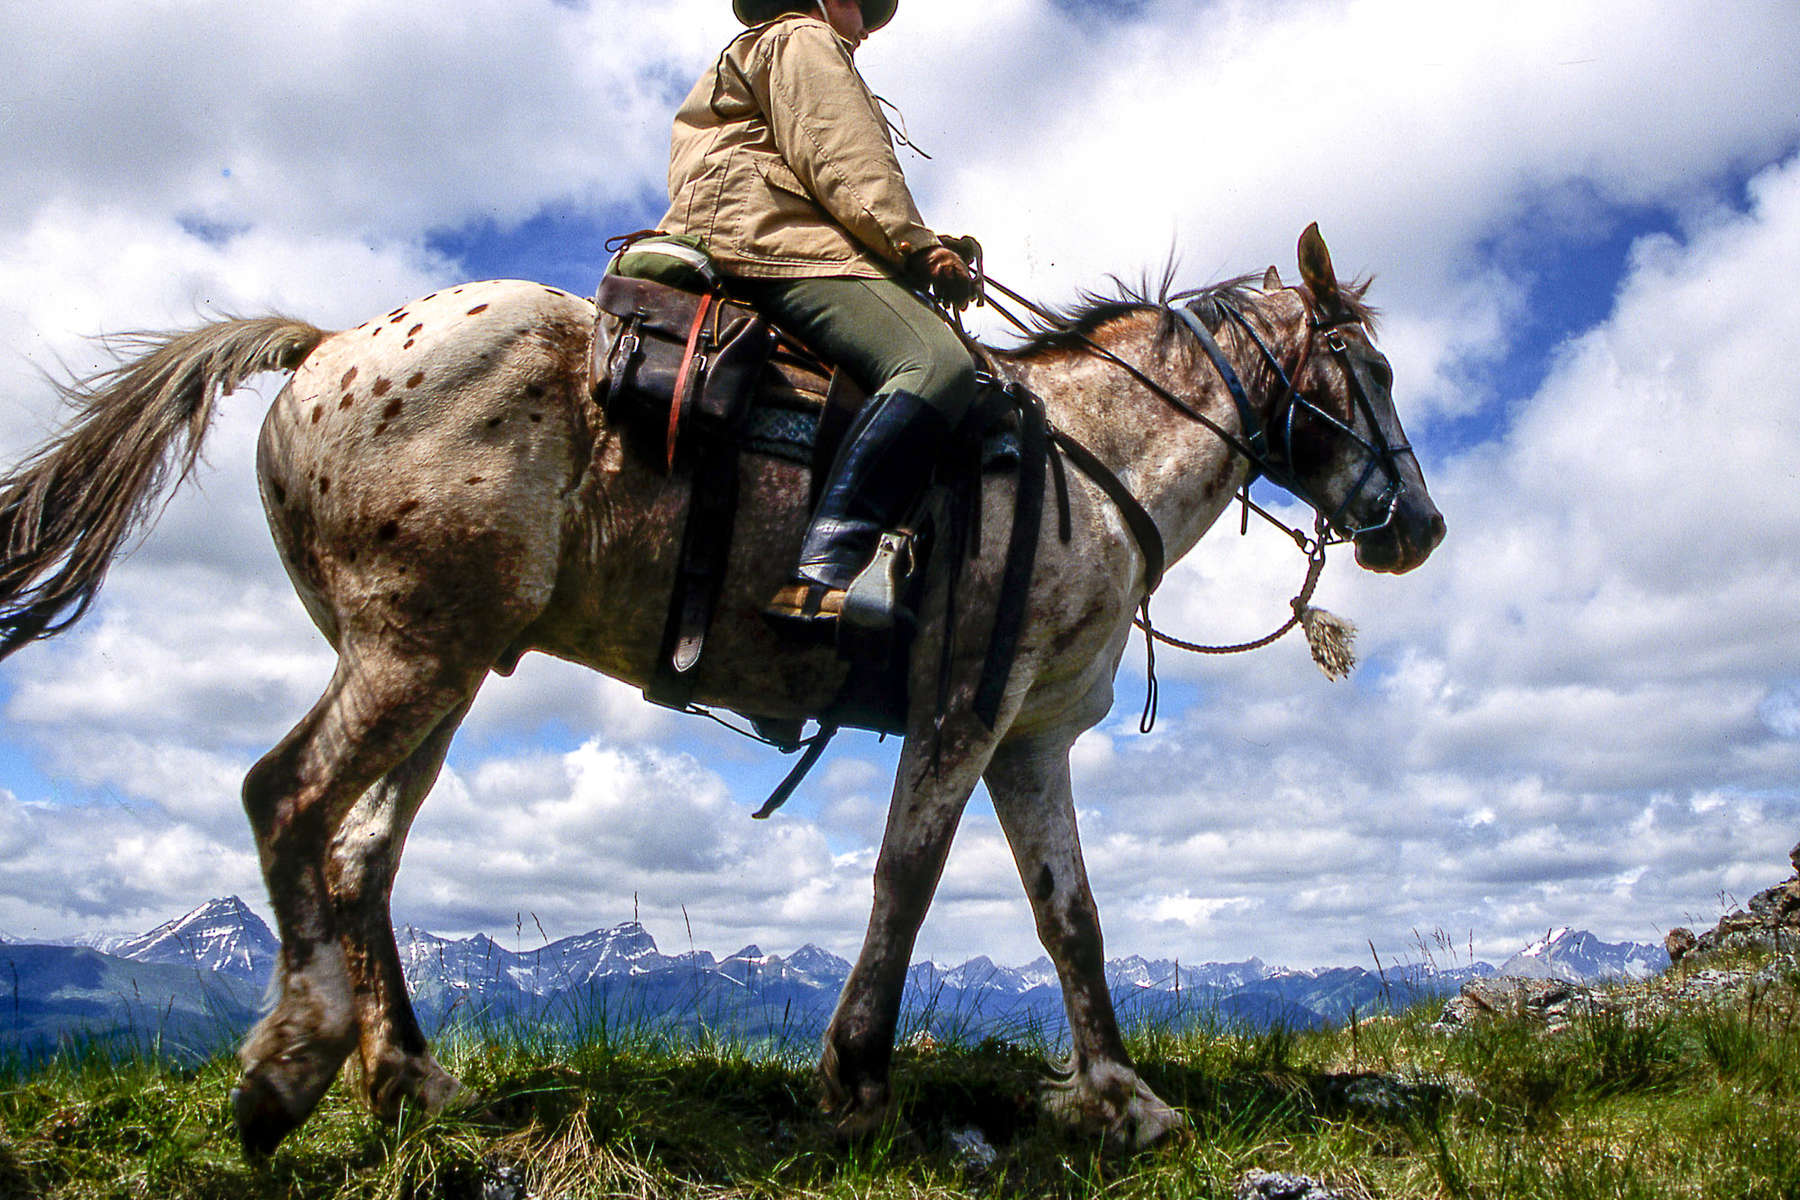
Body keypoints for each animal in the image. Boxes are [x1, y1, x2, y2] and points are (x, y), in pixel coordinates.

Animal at [0, 223, 1440, 1151]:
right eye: (1366, 372)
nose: (1418, 526)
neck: (1088, 461)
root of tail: (324, 346)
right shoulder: (963, 711)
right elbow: (907, 882)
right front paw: (857, 1082)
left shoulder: (1031, 740)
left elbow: (1069, 919)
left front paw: (1126, 1100)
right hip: (409, 651)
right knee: (286, 796)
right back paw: (292, 1066)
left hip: (444, 665)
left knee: (357, 851)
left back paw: (404, 1076)